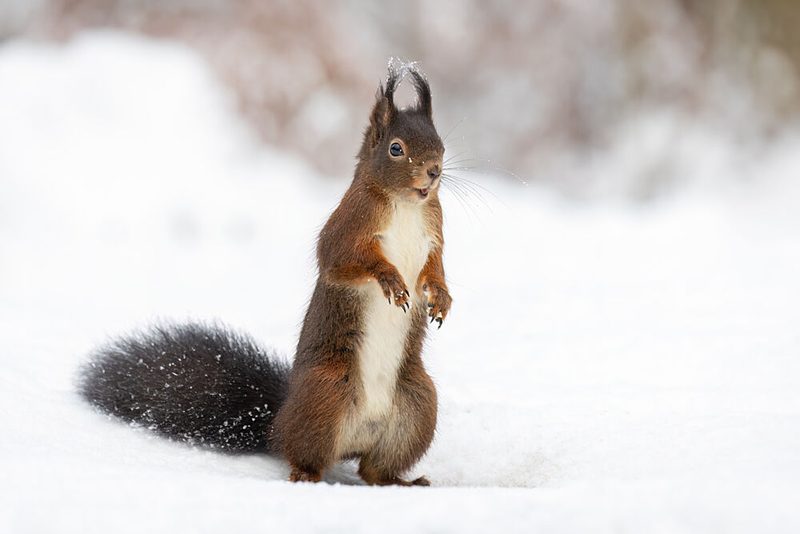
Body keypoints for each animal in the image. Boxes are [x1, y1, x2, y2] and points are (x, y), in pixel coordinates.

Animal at [80, 63, 452, 487]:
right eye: (396, 149)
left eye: (441, 144)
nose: (434, 171)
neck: (406, 206)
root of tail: (278, 420)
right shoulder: (347, 227)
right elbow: (341, 260)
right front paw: (390, 278)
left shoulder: (434, 235)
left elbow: (436, 268)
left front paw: (441, 296)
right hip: (325, 394)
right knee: (304, 453)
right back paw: (306, 475)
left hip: (417, 405)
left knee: (372, 468)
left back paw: (401, 481)